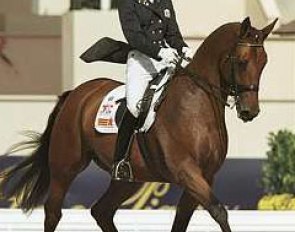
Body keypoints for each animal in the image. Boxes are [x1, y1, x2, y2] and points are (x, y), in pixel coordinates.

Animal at [0, 17, 278, 231]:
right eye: (242, 61)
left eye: (264, 62)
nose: (250, 111)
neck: (196, 105)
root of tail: (76, 93)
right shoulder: (186, 171)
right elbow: (219, 211)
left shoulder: (204, 176)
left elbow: (182, 220)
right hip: (65, 166)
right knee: (53, 212)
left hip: (127, 179)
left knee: (101, 211)